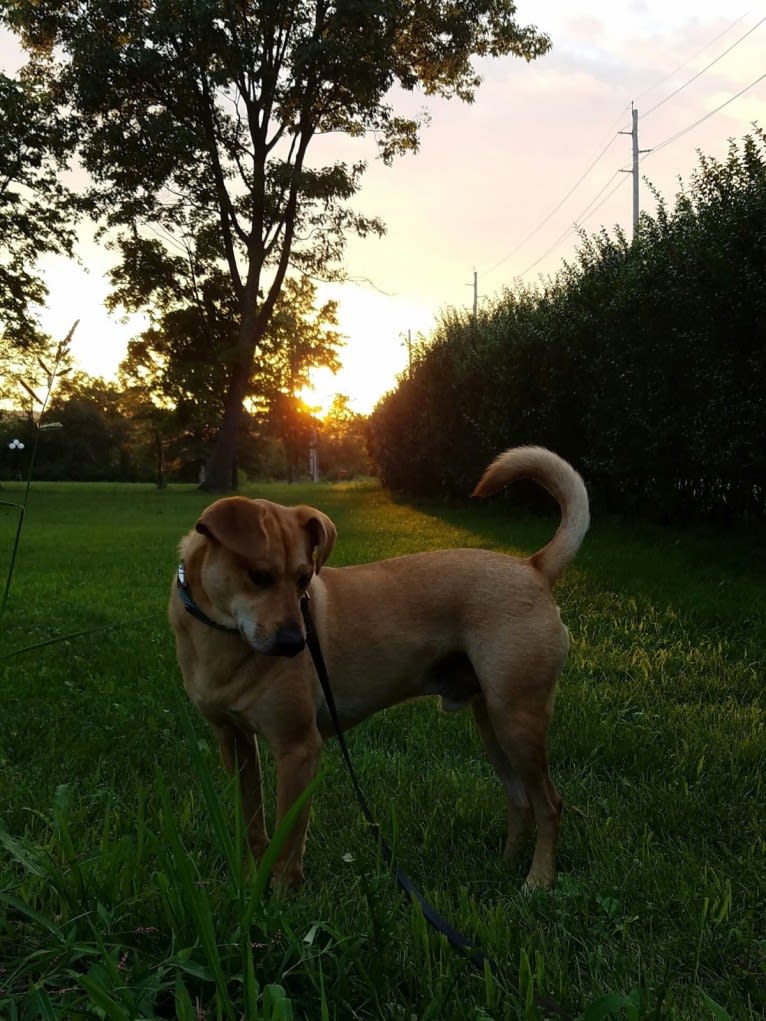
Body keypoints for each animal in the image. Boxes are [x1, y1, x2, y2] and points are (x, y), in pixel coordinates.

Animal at [170, 445, 592, 886]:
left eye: (304, 578)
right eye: (258, 576)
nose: (294, 644)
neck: (224, 641)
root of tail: (534, 567)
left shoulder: (297, 749)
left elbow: (288, 844)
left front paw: (281, 898)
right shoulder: (233, 741)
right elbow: (253, 826)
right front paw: (253, 883)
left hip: (518, 720)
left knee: (551, 804)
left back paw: (537, 880)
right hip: (493, 722)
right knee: (521, 800)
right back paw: (506, 866)